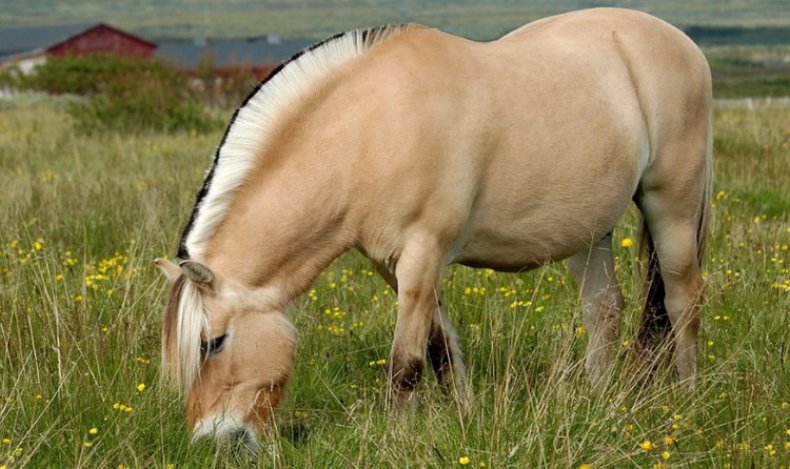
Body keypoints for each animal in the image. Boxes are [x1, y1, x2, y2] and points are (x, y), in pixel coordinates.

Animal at [155, 8, 712, 446]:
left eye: (213, 343)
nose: (211, 440)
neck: (369, 128)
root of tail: (681, 42)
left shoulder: (423, 254)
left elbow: (406, 364)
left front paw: (396, 439)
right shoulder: (394, 265)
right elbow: (440, 348)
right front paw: (464, 418)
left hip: (672, 208)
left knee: (683, 302)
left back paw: (687, 400)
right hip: (589, 231)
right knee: (604, 310)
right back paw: (596, 403)